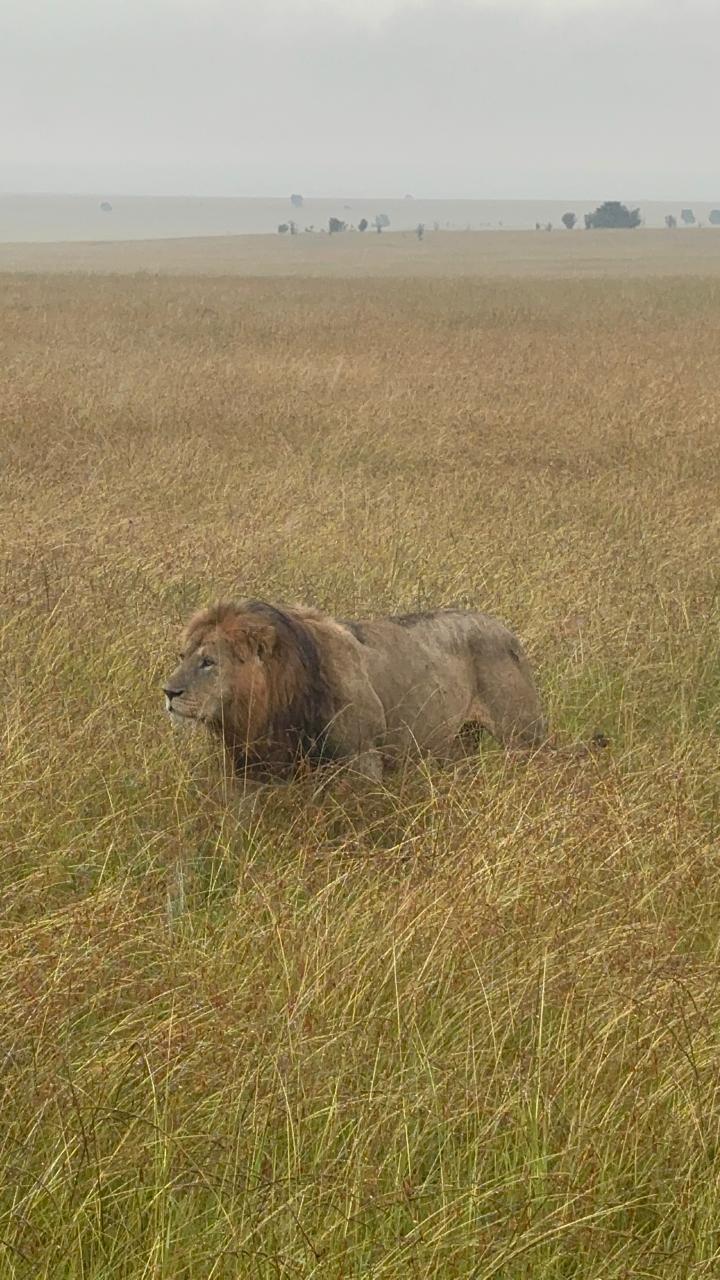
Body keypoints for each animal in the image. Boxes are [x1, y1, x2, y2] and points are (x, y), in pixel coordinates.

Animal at [162, 599, 548, 784]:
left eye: (208, 662)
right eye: (182, 656)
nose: (168, 692)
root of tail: (506, 631)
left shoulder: (362, 759)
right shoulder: (256, 769)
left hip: (524, 735)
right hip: (457, 744)